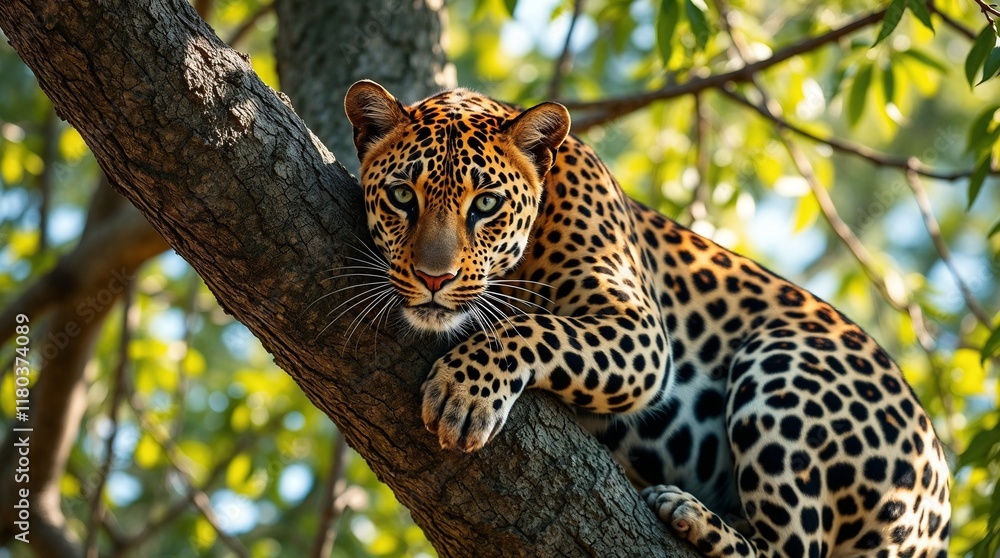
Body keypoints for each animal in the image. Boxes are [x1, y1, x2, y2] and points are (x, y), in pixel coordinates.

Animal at [342, 79, 951, 557]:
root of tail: (939, 511)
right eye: (402, 196)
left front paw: (463, 394)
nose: (434, 278)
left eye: (486, 204)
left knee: (794, 549)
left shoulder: (640, 332)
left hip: (783, 357)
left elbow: (533, 328)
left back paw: (688, 513)